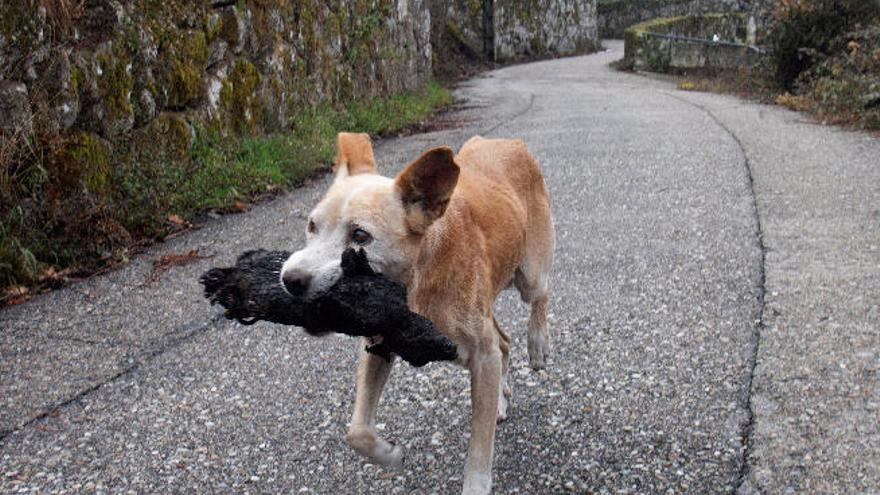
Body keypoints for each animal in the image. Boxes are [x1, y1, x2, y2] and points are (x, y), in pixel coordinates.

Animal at [282, 133, 552, 495]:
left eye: (360, 235)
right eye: (312, 226)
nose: (290, 279)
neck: (416, 282)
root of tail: (506, 141)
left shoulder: (482, 355)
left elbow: (480, 449)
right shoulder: (377, 346)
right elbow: (357, 432)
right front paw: (389, 455)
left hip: (529, 276)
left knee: (539, 297)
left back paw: (537, 343)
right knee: (504, 341)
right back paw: (500, 399)